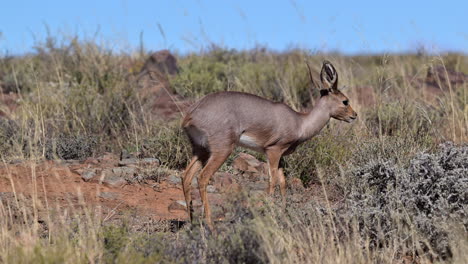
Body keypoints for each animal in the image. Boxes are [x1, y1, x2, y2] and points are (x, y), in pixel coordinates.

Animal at [181, 60, 356, 229]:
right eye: (345, 101)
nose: (354, 115)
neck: (300, 122)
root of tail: (191, 114)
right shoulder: (272, 151)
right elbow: (273, 181)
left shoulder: (281, 157)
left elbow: (283, 183)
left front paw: (284, 214)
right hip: (222, 151)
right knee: (202, 177)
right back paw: (210, 226)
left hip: (201, 151)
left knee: (186, 176)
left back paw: (191, 221)